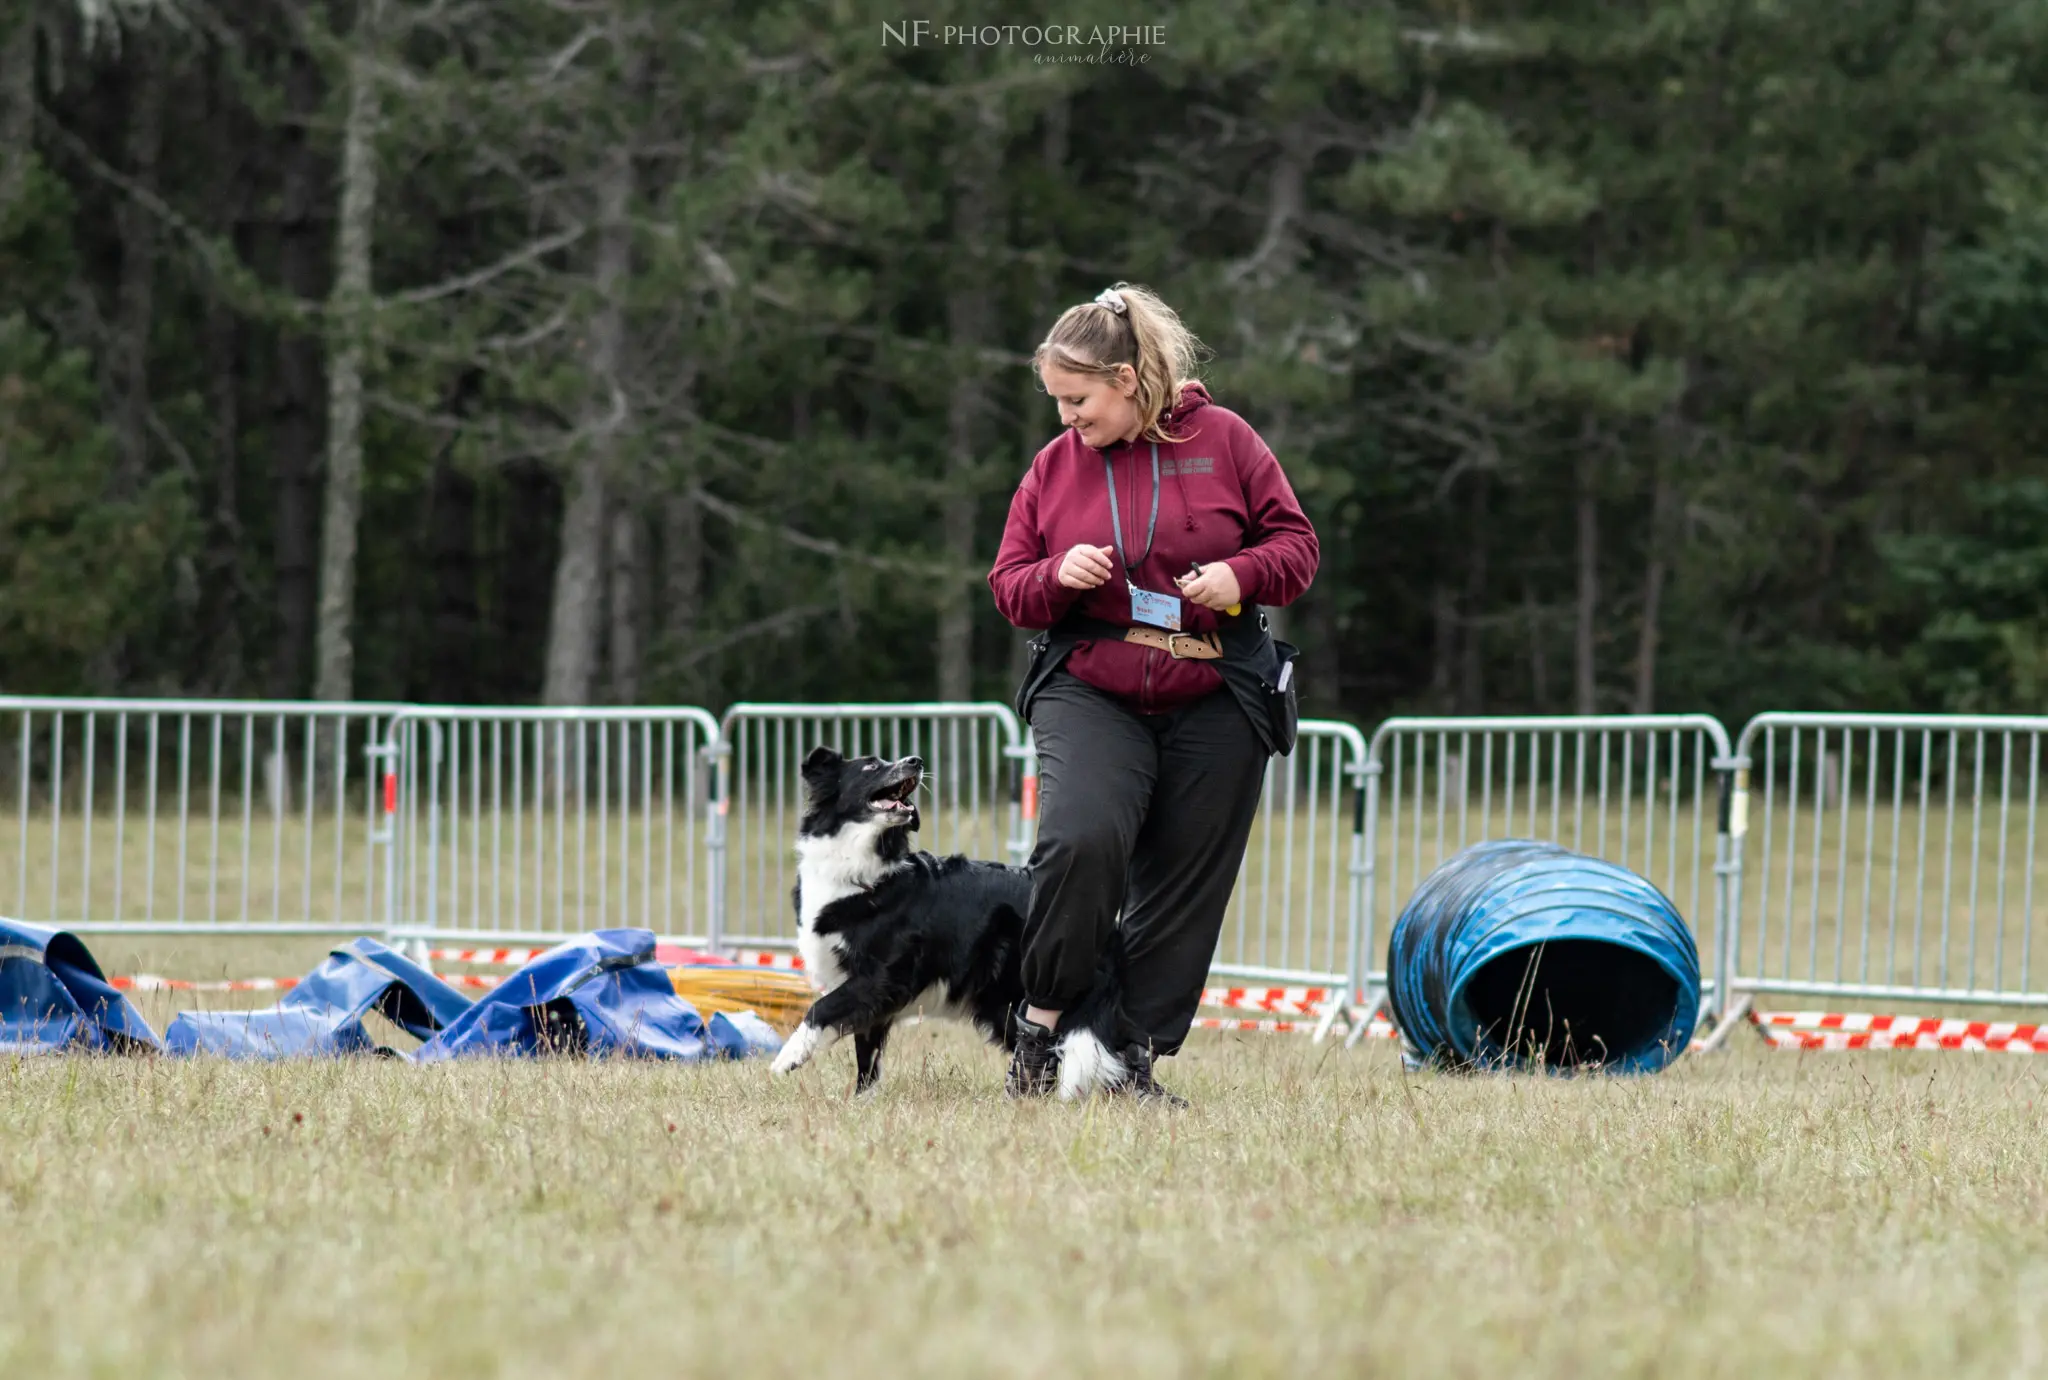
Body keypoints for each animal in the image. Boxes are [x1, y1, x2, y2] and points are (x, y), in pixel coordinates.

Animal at [770, 745, 1146, 1089]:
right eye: (871, 766)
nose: (916, 761)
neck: (863, 864)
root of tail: (1106, 928)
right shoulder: (873, 996)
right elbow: (867, 1054)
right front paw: (863, 1101)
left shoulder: (881, 977)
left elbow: (821, 1009)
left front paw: (786, 1058)